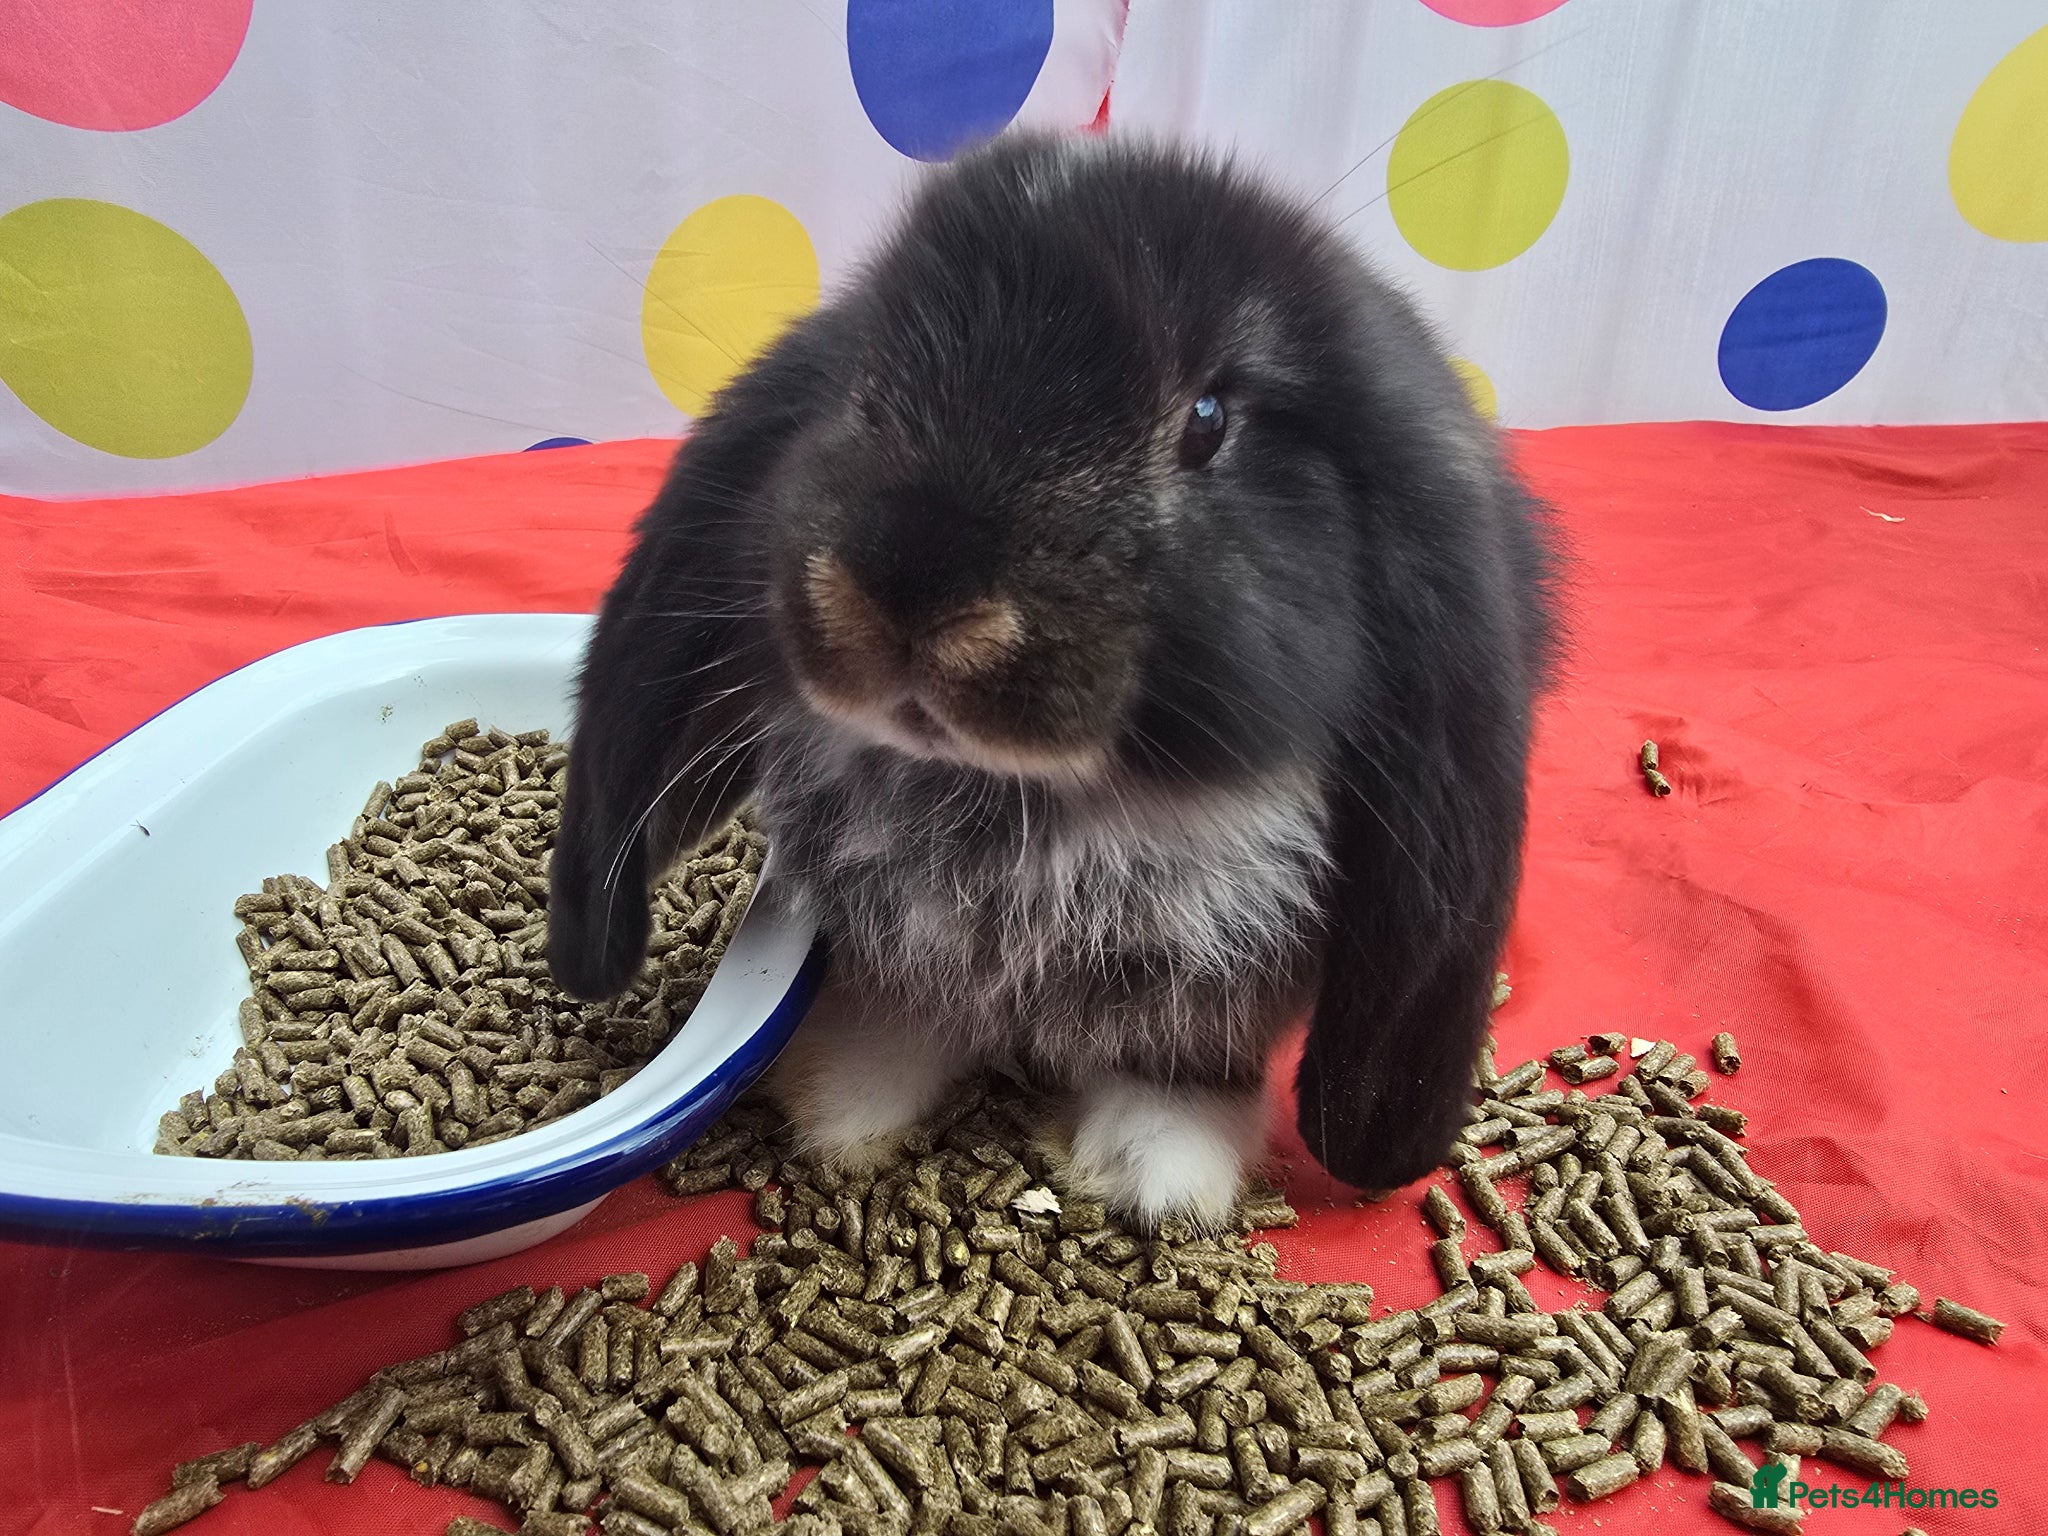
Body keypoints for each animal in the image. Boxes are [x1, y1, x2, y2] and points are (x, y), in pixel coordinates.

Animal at [547, 133, 1561, 1231]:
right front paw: (841, 1103)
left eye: (1207, 420)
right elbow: (906, 1000)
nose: (910, 591)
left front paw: (1160, 1177)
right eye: (861, 383)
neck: (1027, 799)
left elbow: (1186, 1057)